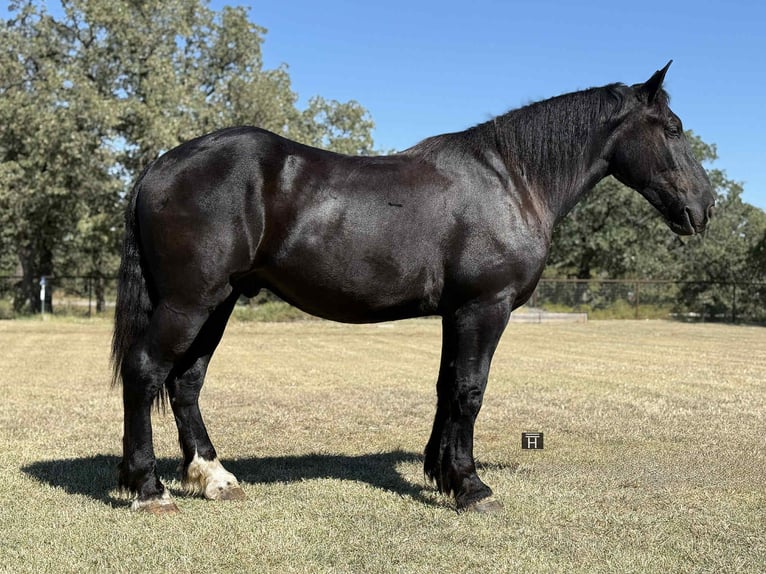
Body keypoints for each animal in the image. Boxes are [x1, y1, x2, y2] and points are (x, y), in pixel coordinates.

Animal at [112, 62, 714, 514]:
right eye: (674, 128)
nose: (705, 209)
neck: (510, 180)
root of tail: (161, 164)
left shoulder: (456, 312)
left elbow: (447, 388)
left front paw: (442, 472)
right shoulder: (484, 308)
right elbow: (470, 391)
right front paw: (471, 487)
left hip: (219, 302)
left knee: (186, 382)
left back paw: (213, 476)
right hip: (191, 301)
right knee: (146, 371)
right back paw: (149, 489)